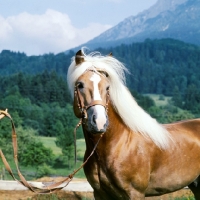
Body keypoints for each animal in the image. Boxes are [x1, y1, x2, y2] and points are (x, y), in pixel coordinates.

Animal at [67, 49, 200, 199]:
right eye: (80, 85)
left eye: (107, 87)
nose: (99, 122)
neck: (118, 145)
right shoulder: (100, 194)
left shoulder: (135, 193)